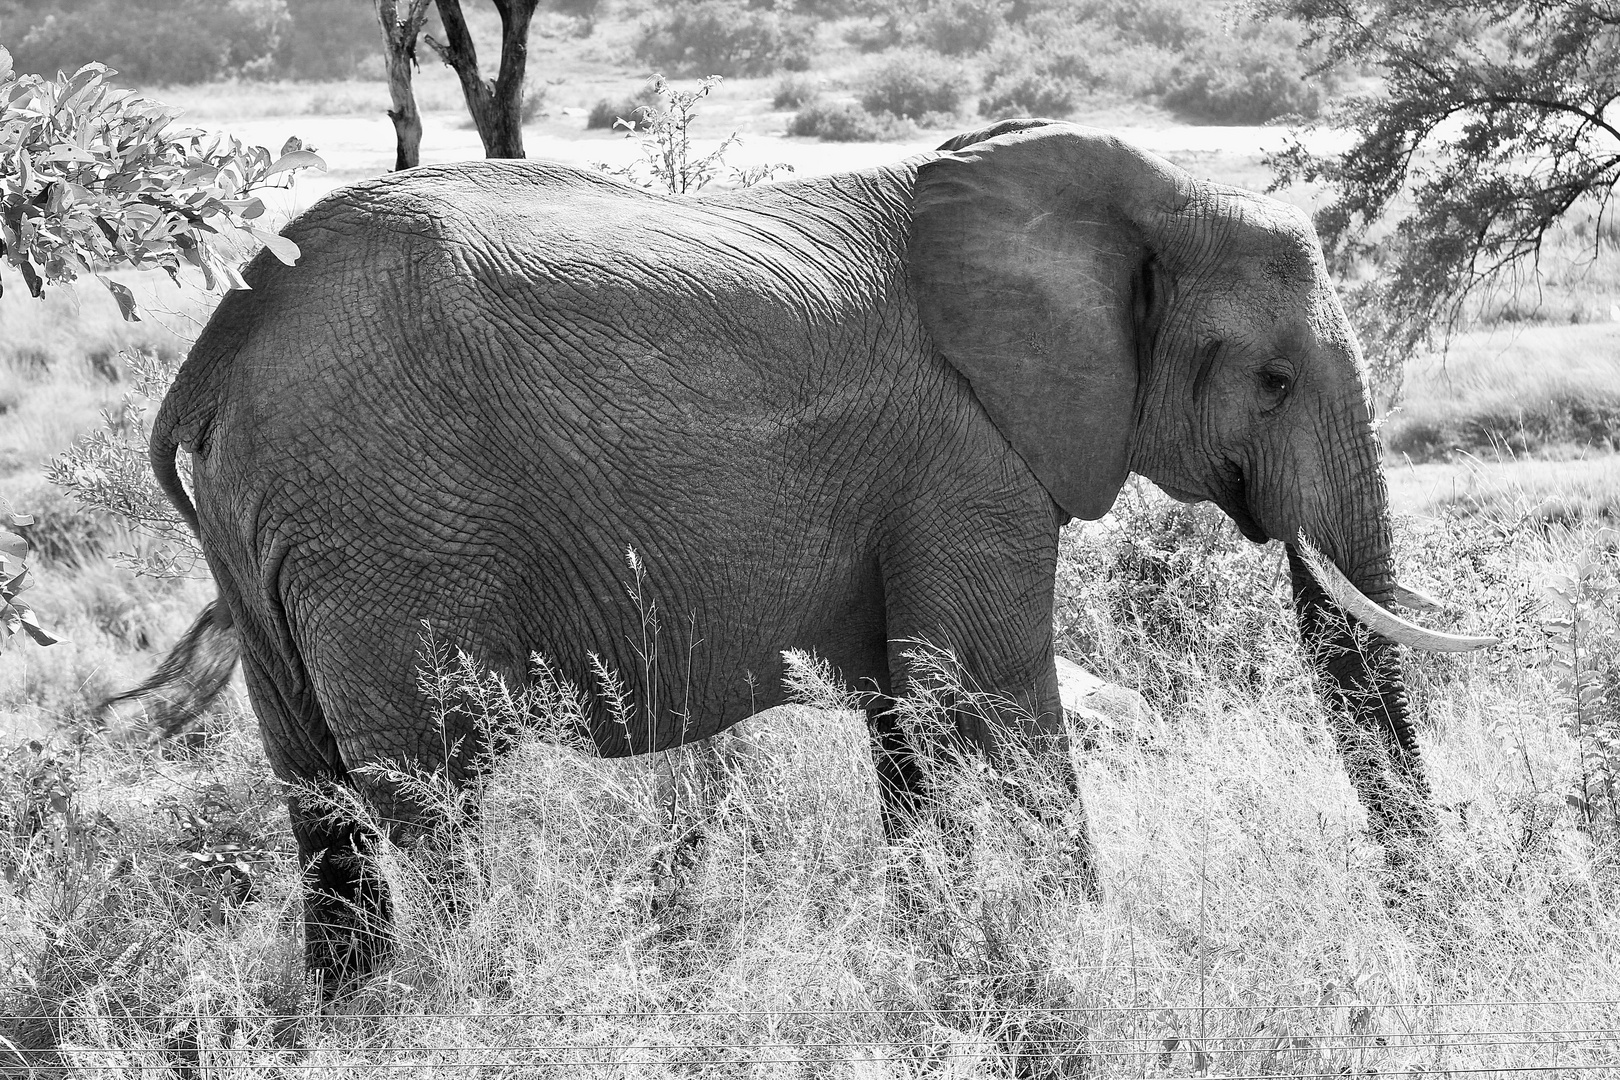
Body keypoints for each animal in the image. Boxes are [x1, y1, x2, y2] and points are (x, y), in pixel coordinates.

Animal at [129, 118, 1490, 990]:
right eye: (1272, 381)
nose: (1428, 944)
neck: (1140, 192)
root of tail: (218, 344)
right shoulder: (968, 458)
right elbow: (994, 696)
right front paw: (1090, 949)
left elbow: (909, 724)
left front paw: (936, 958)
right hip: (385, 525)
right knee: (428, 796)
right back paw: (470, 998)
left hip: (274, 538)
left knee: (319, 803)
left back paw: (355, 1022)